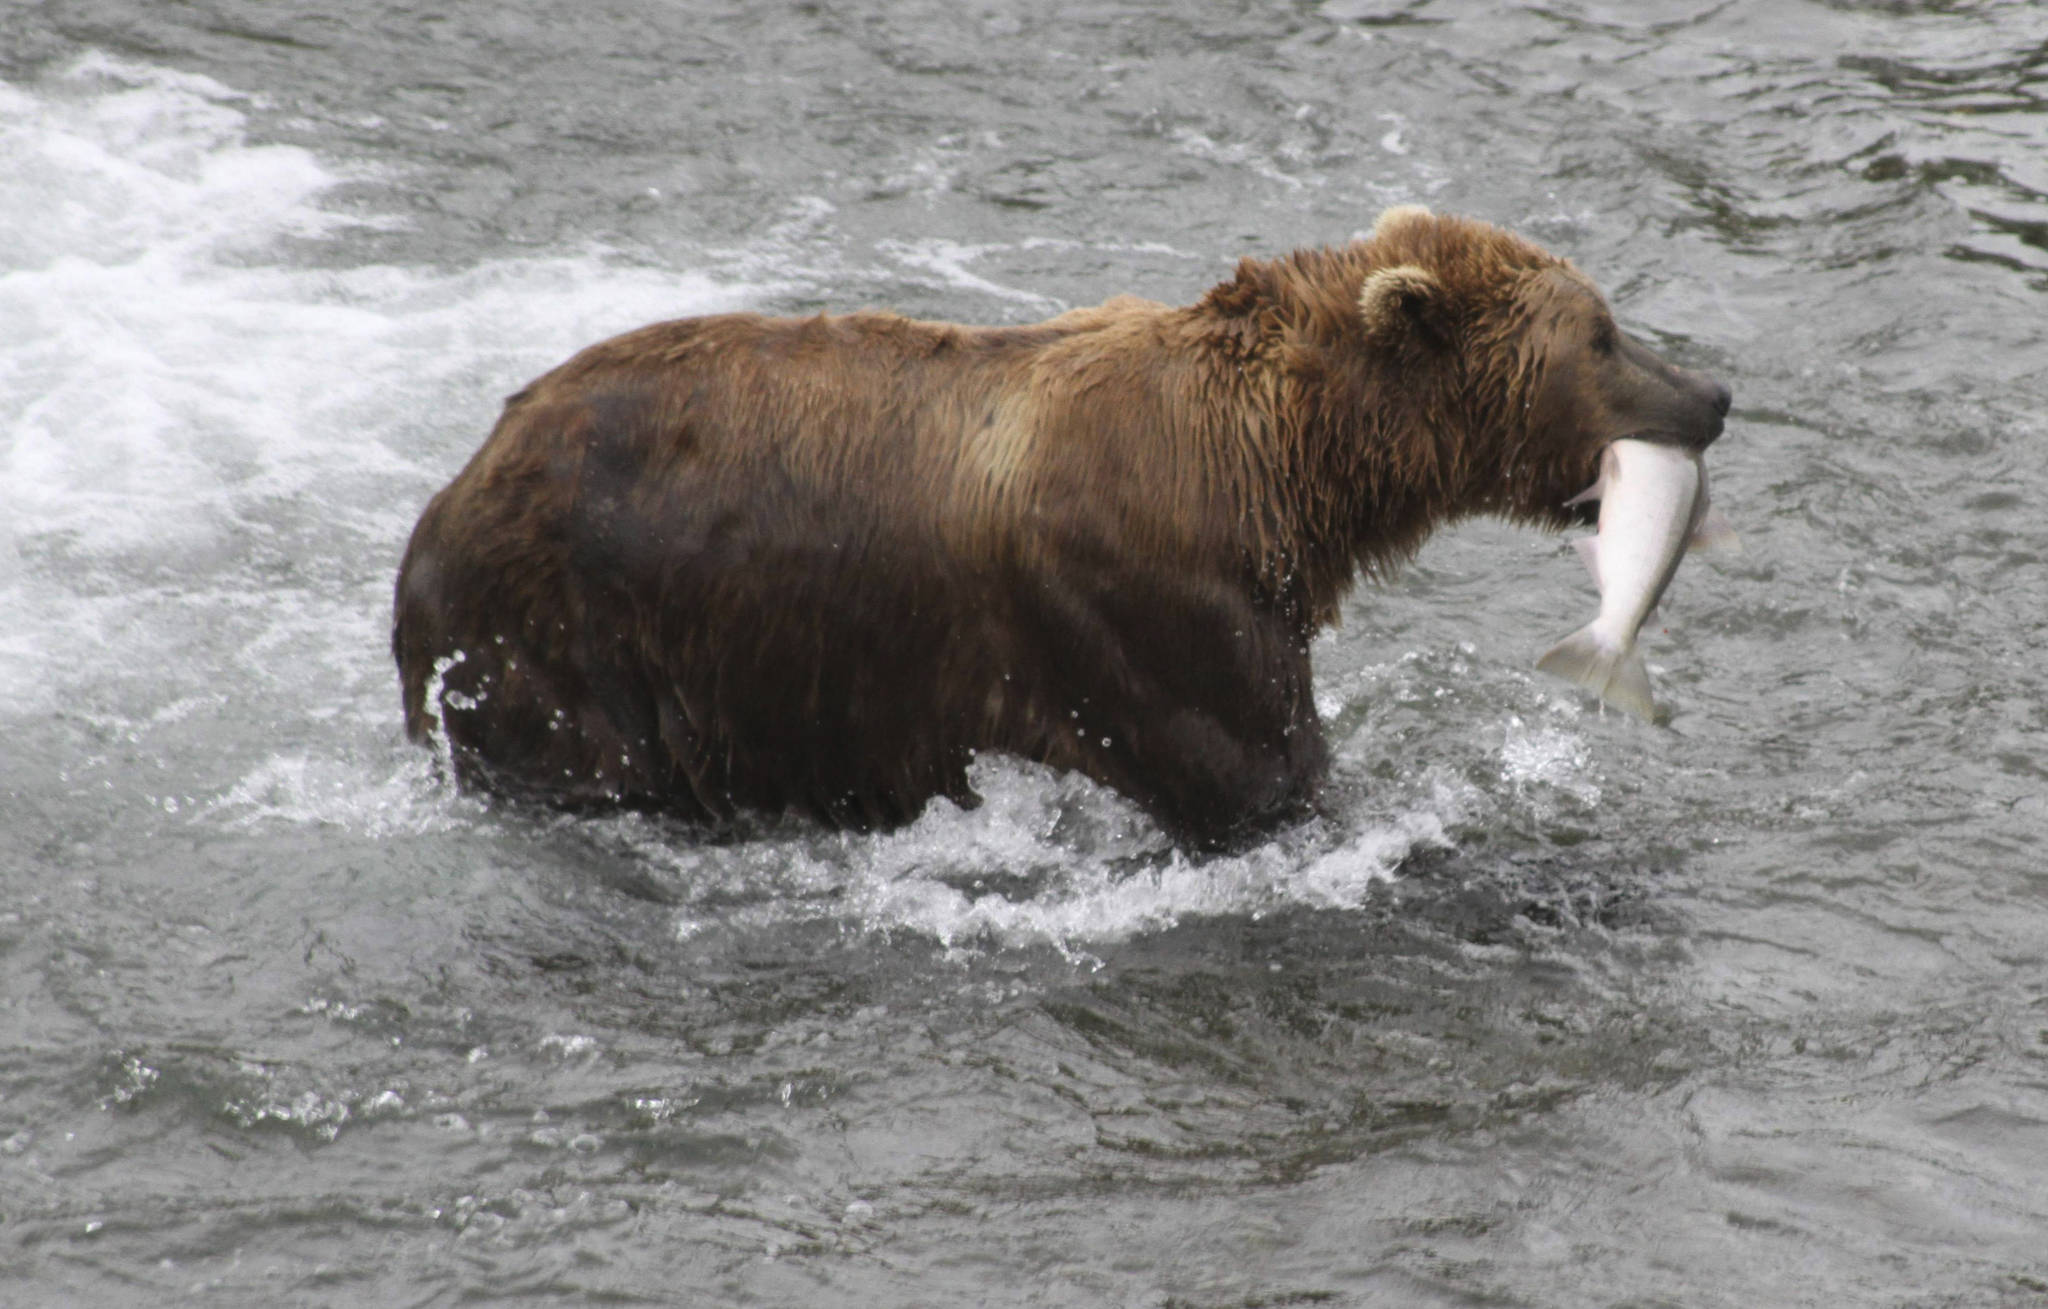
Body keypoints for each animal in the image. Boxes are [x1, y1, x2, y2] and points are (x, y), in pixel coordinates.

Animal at [387, 199, 1728, 843]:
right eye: (1600, 333)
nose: (1710, 394)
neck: (1283, 472)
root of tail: (453, 484)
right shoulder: (1148, 606)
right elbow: (1264, 777)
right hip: (565, 634)